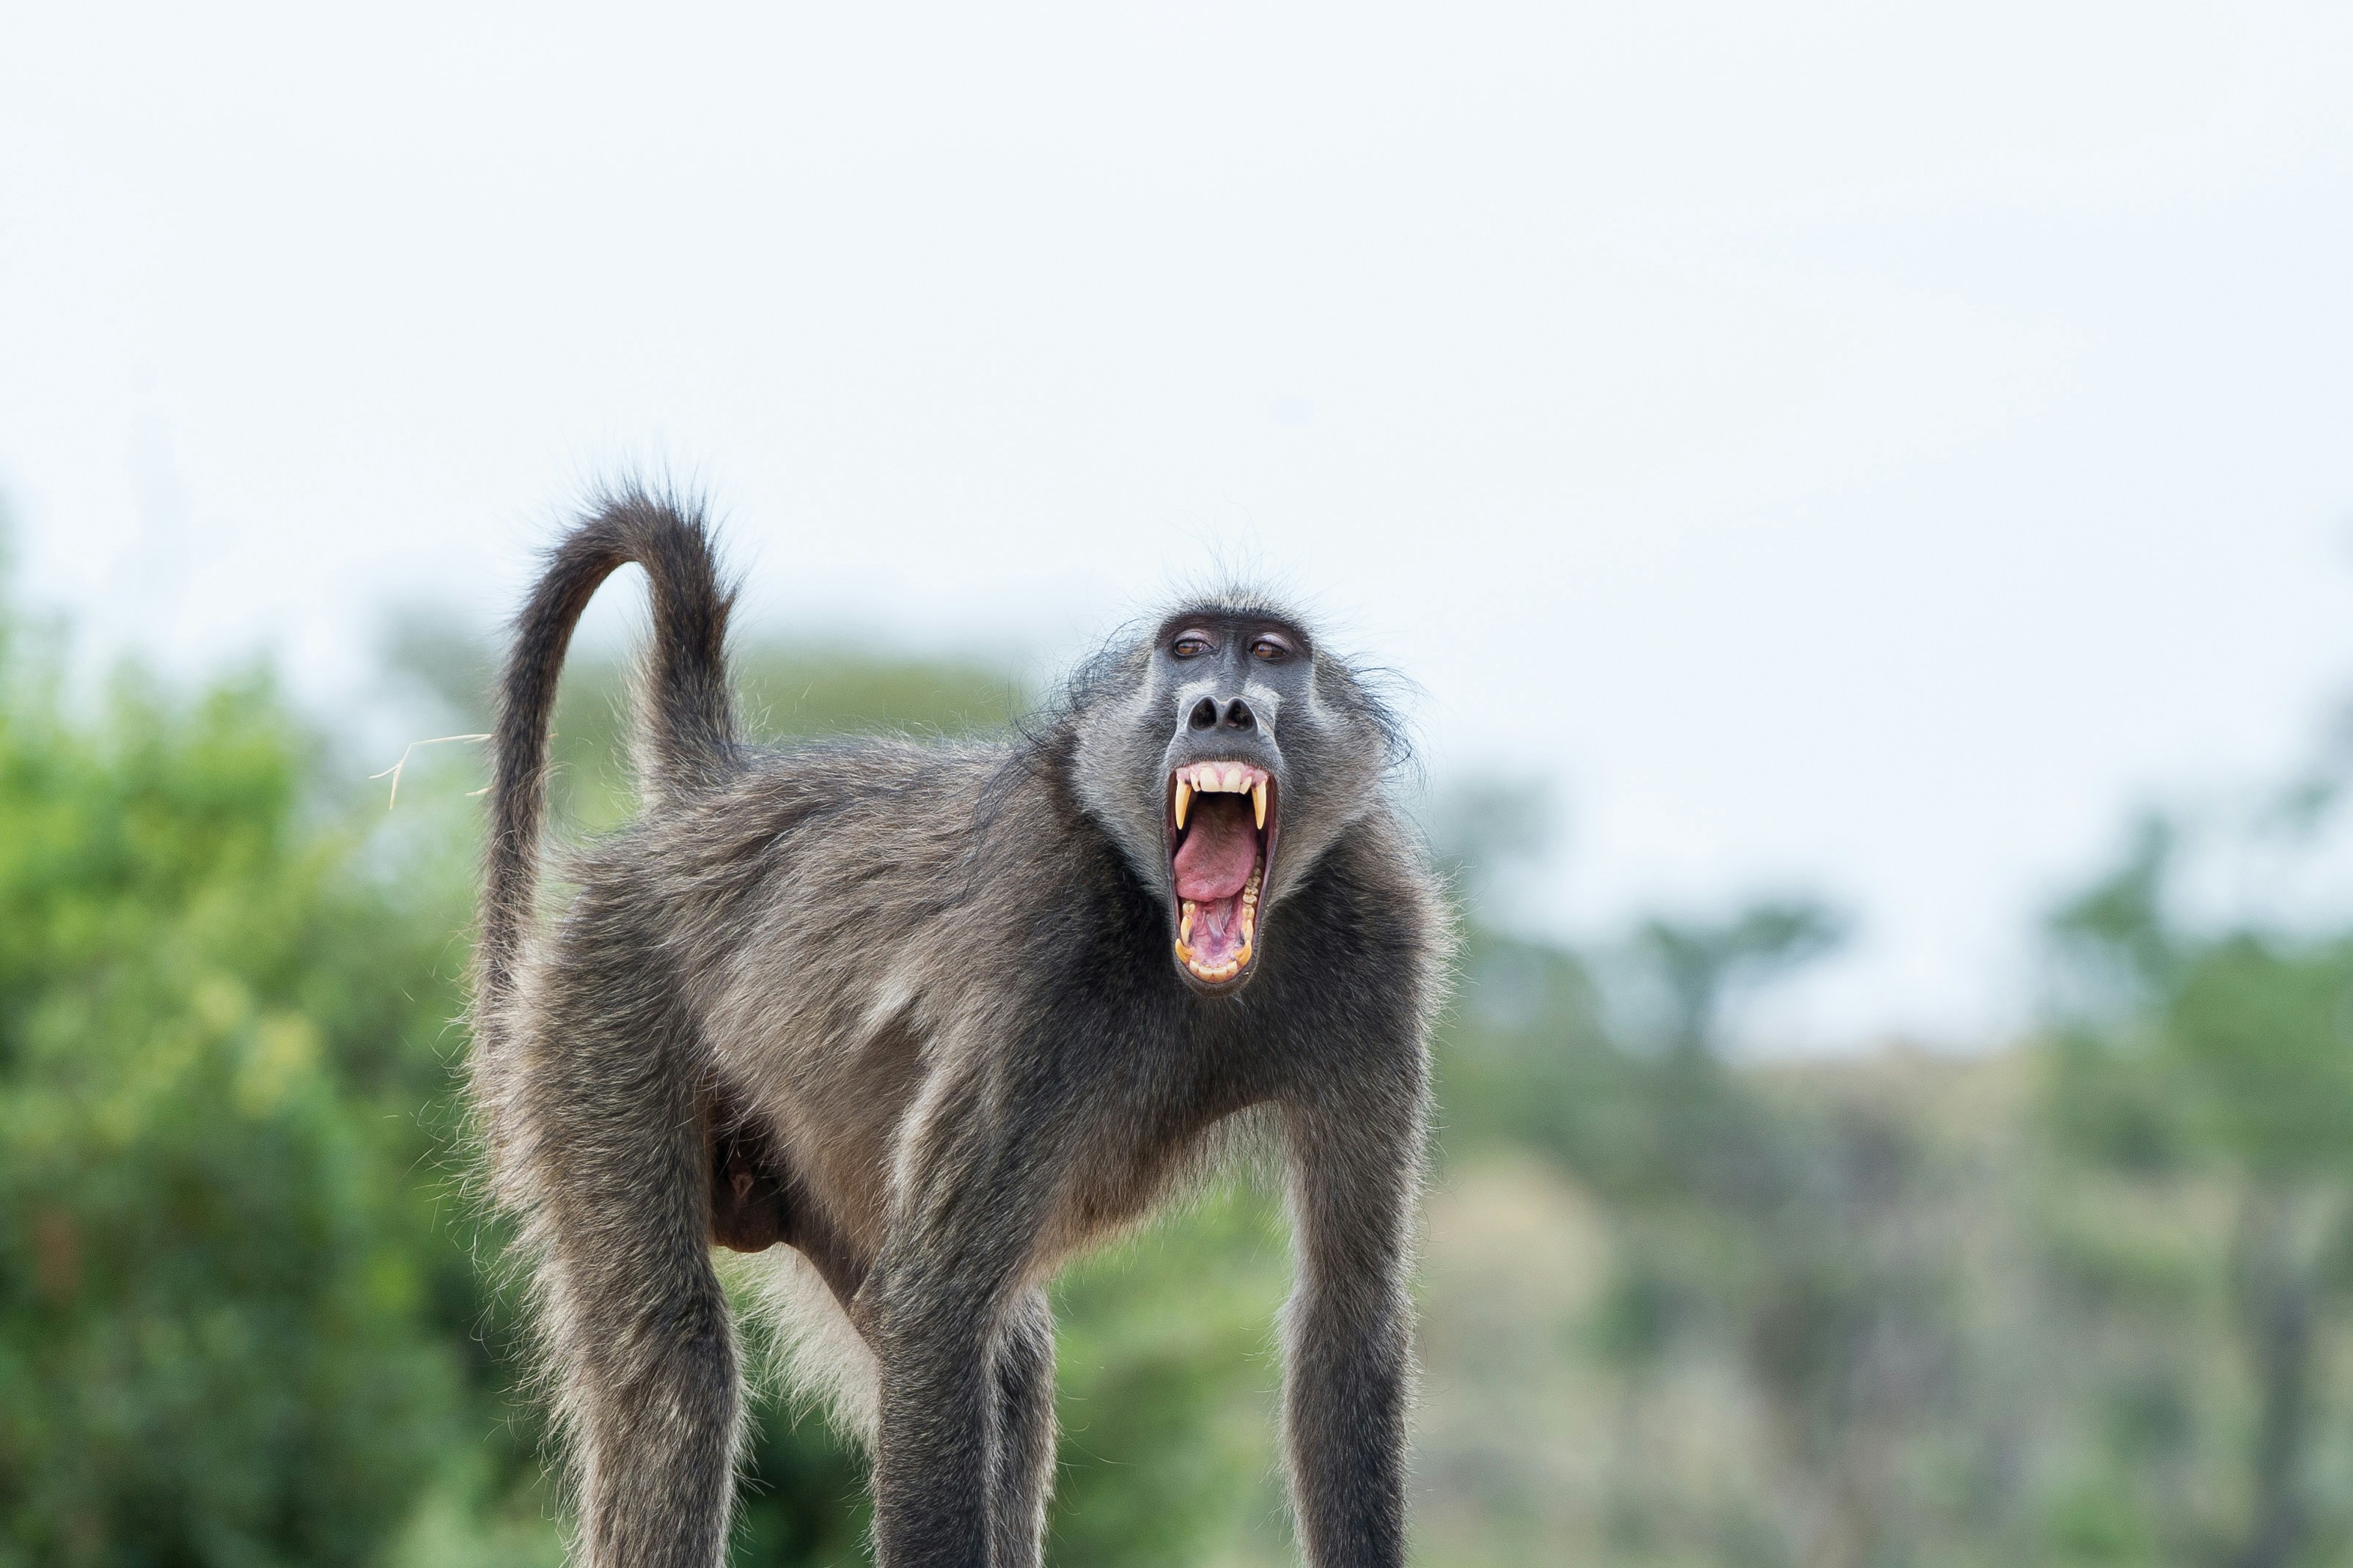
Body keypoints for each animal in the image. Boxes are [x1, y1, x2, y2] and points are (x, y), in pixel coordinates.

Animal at [468, 489, 1449, 1568]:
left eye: (1271, 655)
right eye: (1190, 649)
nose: (1221, 709)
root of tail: (707, 808)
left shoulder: (1382, 950)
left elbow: (1344, 1315)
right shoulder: (1040, 952)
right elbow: (935, 1306)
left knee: (1007, 1368)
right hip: (599, 1005)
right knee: (675, 1368)